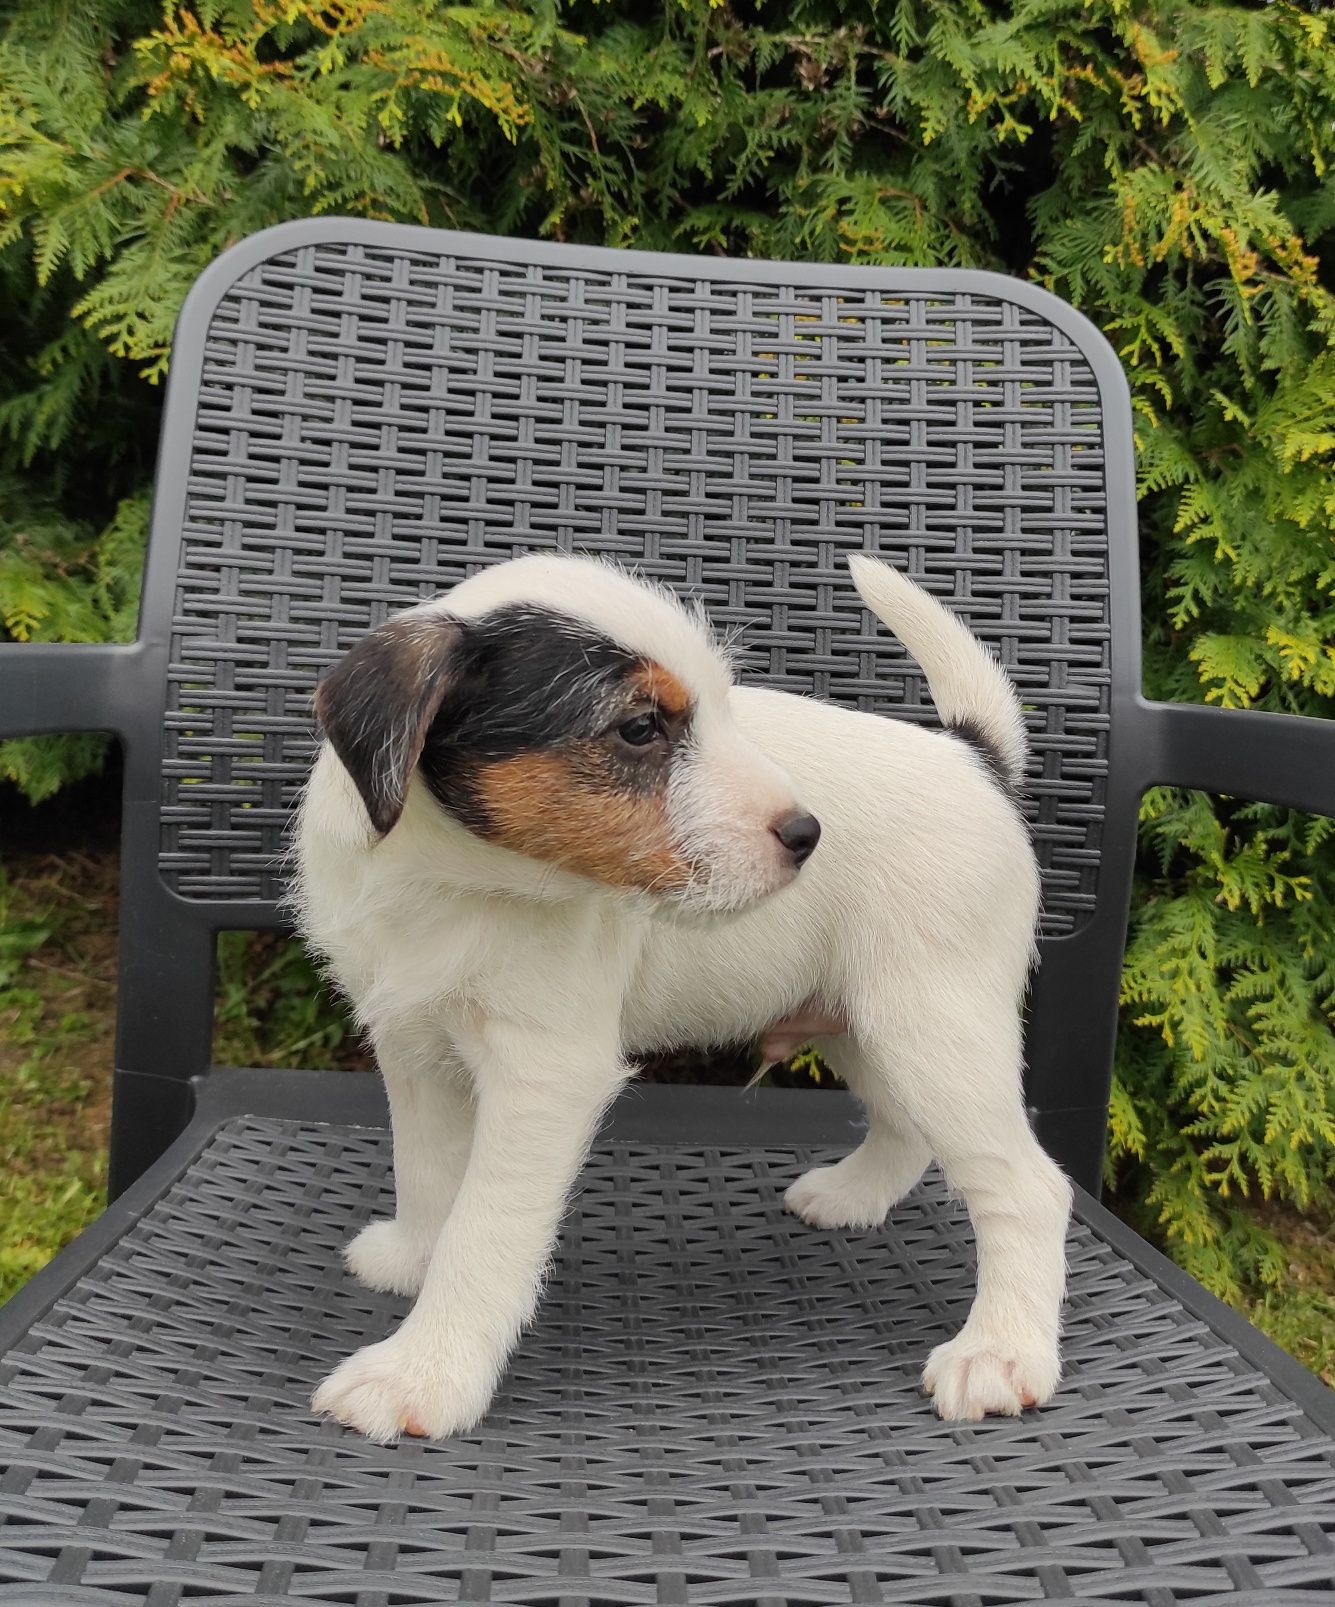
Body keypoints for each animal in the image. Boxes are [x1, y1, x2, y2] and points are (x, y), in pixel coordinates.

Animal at [295, 556, 1073, 1446]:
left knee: (1028, 1187)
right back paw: (851, 1195)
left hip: (932, 1023)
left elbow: (481, 1229)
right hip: (870, 1024)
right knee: (907, 1127)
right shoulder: (413, 1048)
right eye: (640, 728)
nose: (808, 835)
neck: (457, 884)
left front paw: (422, 1372)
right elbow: (427, 1174)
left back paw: (1001, 1353)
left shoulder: (543, 1075)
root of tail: (972, 759)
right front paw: (413, 1259)